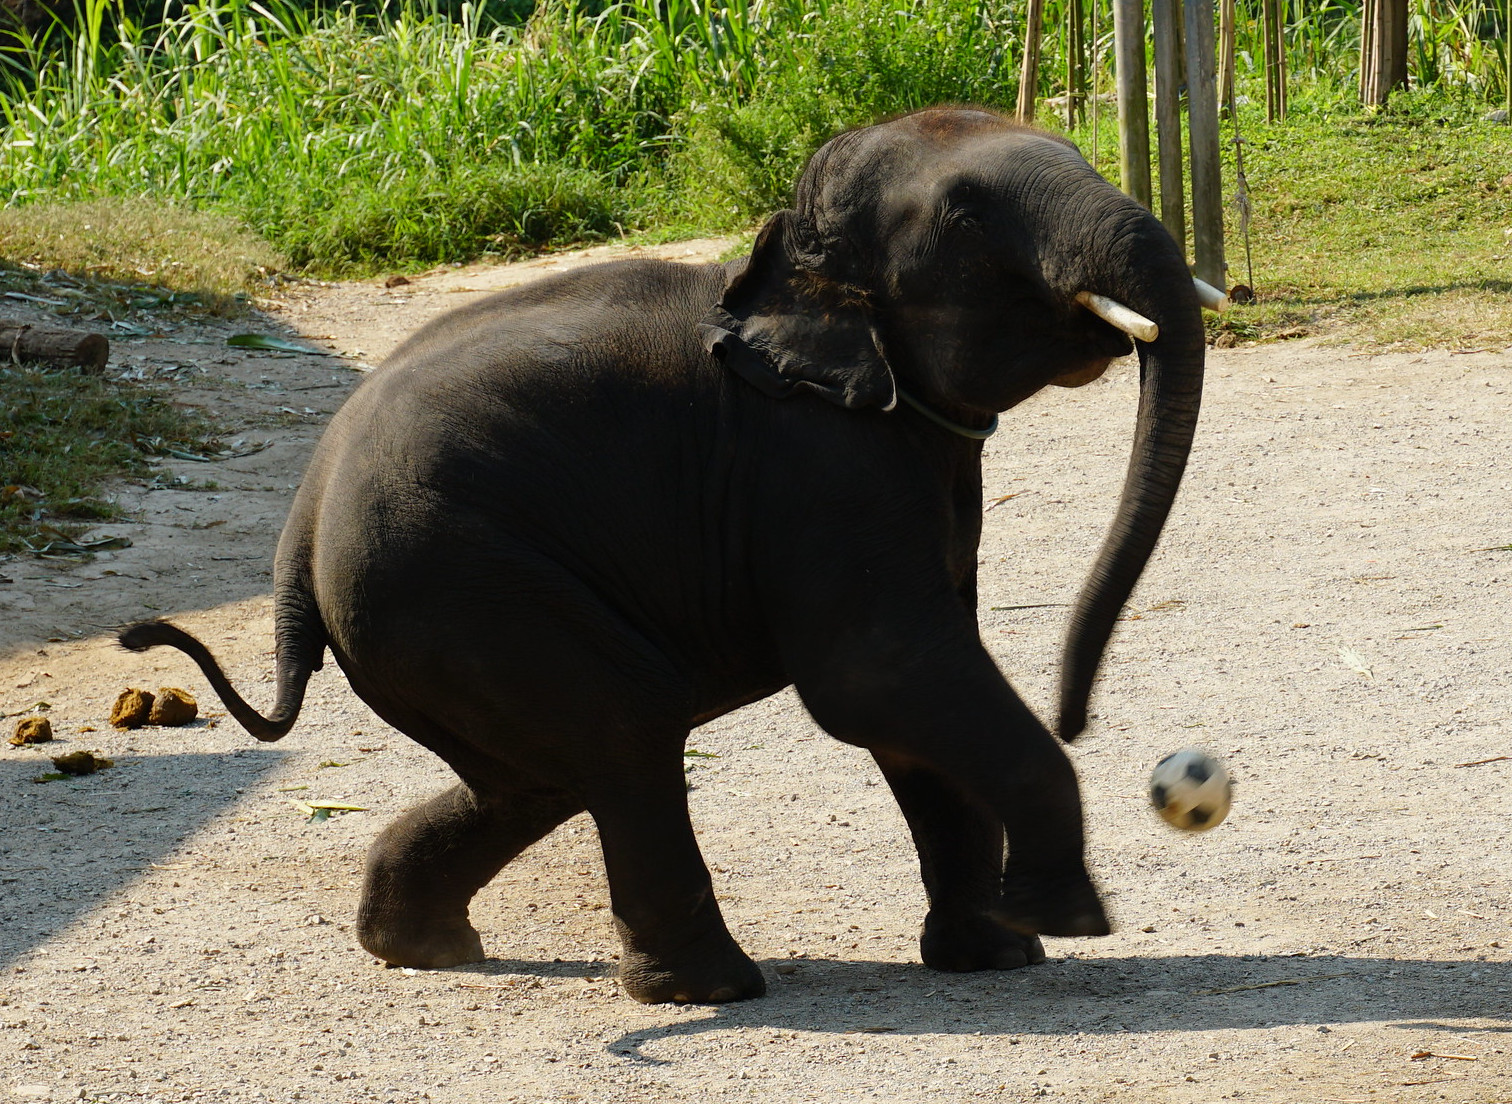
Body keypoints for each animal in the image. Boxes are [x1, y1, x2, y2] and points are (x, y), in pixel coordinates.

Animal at [123, 107, 1215, 1004]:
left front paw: (998, 955)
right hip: (451, 581)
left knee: (538, 776)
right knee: (624, 729)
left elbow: (921, 699)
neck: (783, 256)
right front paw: (1065, 918)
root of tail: (297, 535)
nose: (1082, 719)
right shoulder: (818, 465)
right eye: (965, 217)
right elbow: (881, 675)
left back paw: (419, 947)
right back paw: (711, 990)